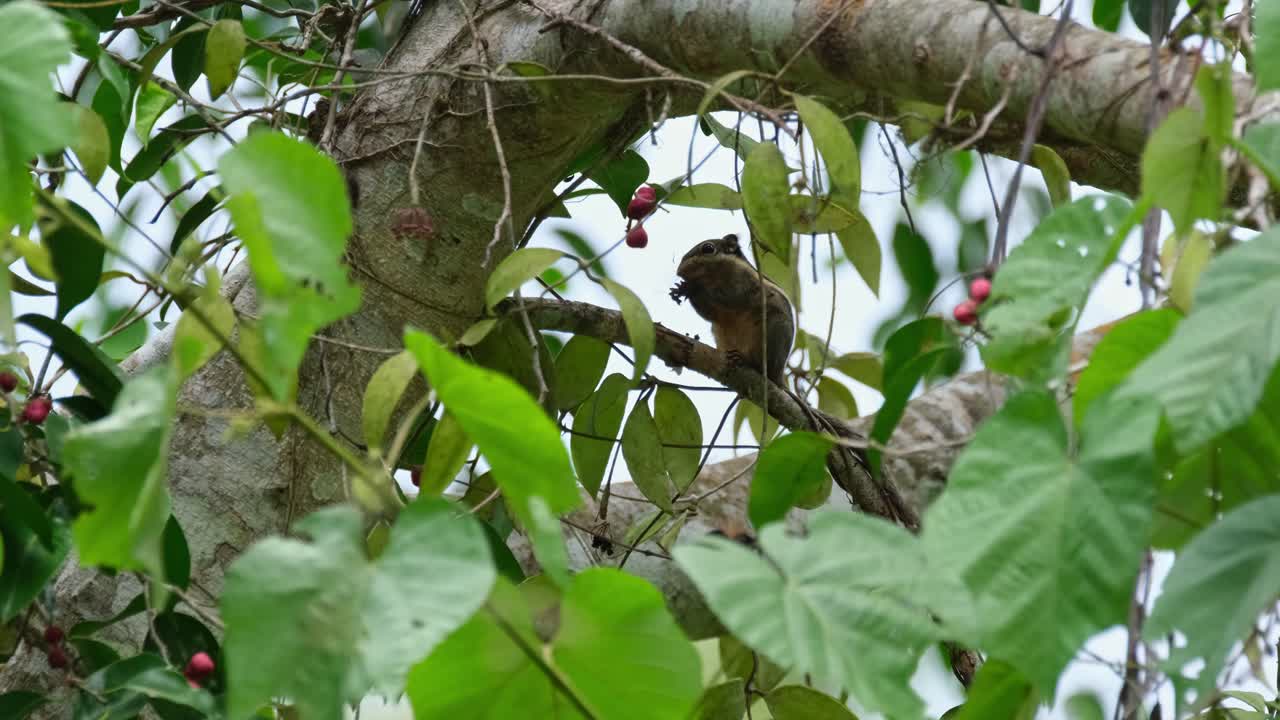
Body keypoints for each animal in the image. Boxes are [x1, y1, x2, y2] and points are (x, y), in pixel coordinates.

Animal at [668, 233, 795, 384]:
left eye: (708, 248)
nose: (679, 272)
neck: (713, 279)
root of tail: (778, 375)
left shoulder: (743, 284)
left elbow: (729, 299)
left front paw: (690, 287)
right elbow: (710, 313)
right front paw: (683, 288)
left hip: (775, 330)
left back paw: (746, 360)